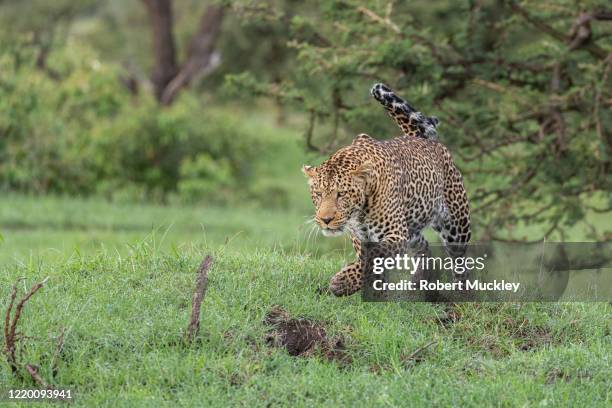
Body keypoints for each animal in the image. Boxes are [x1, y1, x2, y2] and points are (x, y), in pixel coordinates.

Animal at [304, 83, 470, 296]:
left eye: (341, 194)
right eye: (318, 194)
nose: (325, 220)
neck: (360, 211)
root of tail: (424, 139)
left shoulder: (395, 233)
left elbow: (375, 256)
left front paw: (342, 282)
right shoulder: (361, 235)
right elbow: (369, 259)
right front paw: (375, 290)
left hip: (456, 225)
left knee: (460, 260)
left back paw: (461, 291)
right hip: (411, 226)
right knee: (423, 245)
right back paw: (418, 282)